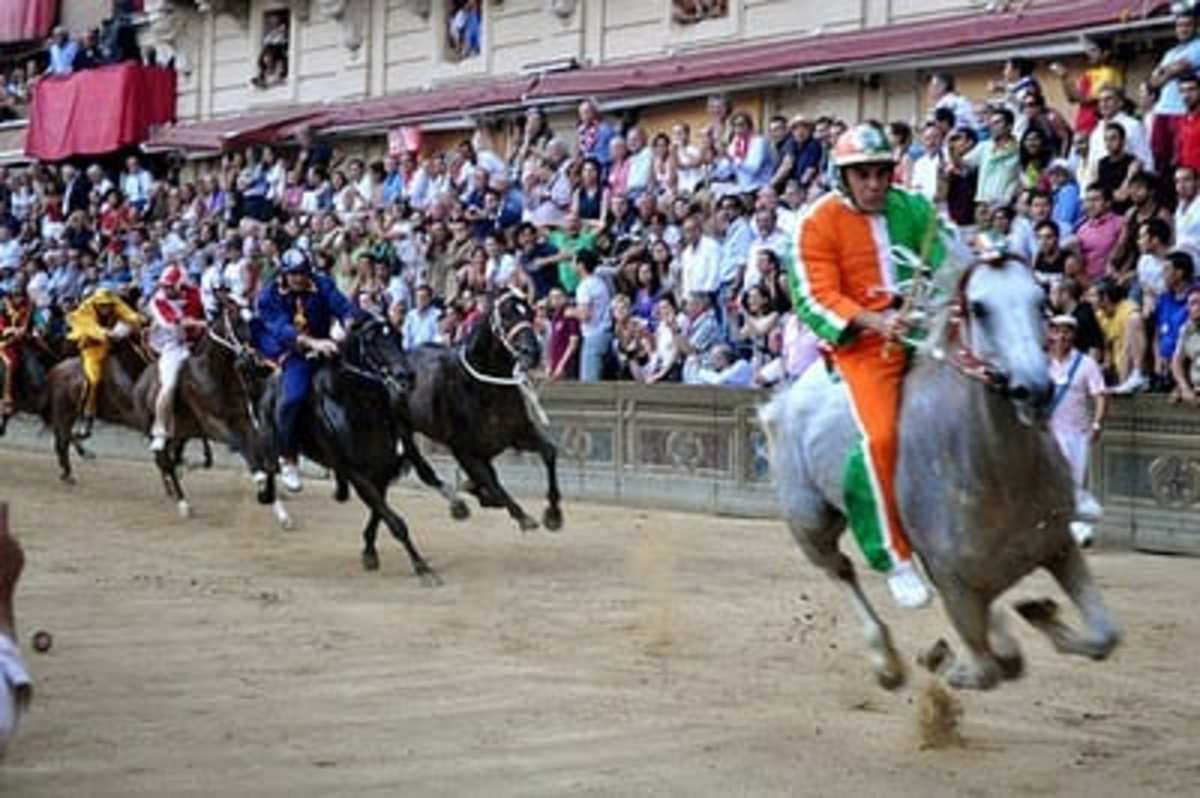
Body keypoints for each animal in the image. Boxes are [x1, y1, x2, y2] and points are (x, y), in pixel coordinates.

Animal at [391, 289, 564, 532]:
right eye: (506, 315)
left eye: (530, 314)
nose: (533, 352)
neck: (483, 387)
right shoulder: (463, 448)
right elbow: (491, 483)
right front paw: (523, 516)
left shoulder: (517, 434)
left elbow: (549, 452)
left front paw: (553, 514)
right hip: (404, 431)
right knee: (424, 470)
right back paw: (458, 504)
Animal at [763, 258, 1118, 686]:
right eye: (979, 308)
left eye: (1040, 300)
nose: (1033, 389)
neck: (999, 481)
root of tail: (784, 398)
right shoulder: (952, 580)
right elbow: (983, 670)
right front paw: (947, 658)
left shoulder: (1058, 548)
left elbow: (1104, 636)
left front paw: (1037, 615)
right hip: (811, 522)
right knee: (840, 569)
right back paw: (887, 657)